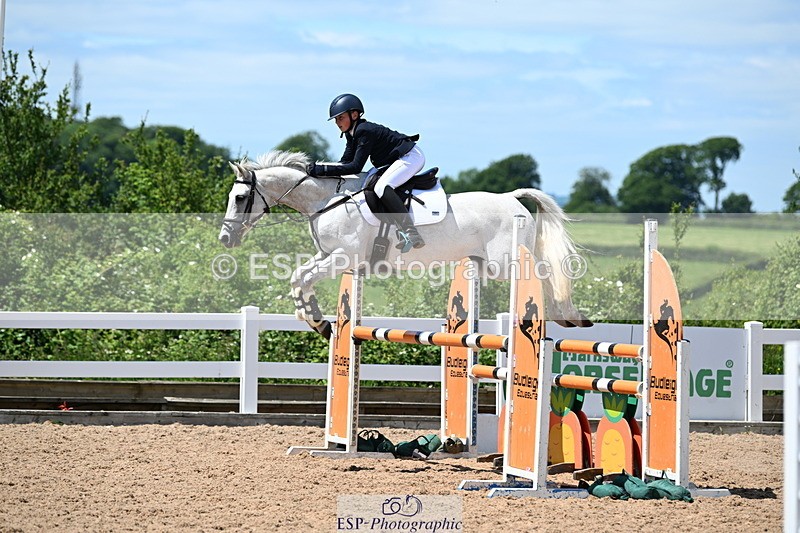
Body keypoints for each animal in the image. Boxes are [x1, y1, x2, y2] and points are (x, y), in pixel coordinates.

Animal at [218, 150, 591, 338]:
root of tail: (511, 198)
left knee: (543, 274)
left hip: (505, 262)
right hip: (487, 264)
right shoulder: (327, 255)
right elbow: (298, 277)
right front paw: (316, 320)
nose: (225, 238)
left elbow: (302, 278)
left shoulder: (342, 258)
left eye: (240, 198)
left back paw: (570, 315)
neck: (327, 200)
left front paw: (317, 320)